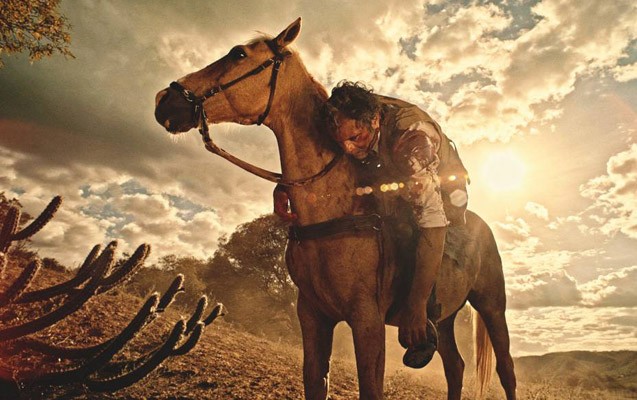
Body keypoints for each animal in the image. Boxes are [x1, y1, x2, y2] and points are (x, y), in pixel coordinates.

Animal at [155, 18, 516, 400]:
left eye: (238, 53)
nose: (165, 100)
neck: (333, 212)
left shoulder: (367, 320)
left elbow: (370, 388)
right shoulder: (313, 315)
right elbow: (316, 381)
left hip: (493, 306)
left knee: (506, 370)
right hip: (446, 319)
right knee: (455, 367)